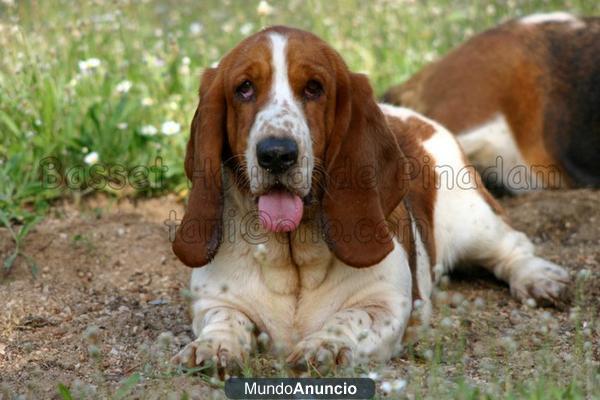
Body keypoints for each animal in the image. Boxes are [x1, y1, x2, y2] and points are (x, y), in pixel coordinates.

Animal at [169, 26, 568, 374]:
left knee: (513, 248)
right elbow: (226, 319)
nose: (277, 154)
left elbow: (352, 317)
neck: (293, 256)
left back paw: (540, 280)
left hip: (475, 222)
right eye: (245, 88)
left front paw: (325, 345)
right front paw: (214, 346)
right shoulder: (214, 302)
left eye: (314, 88)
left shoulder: (386, 305)